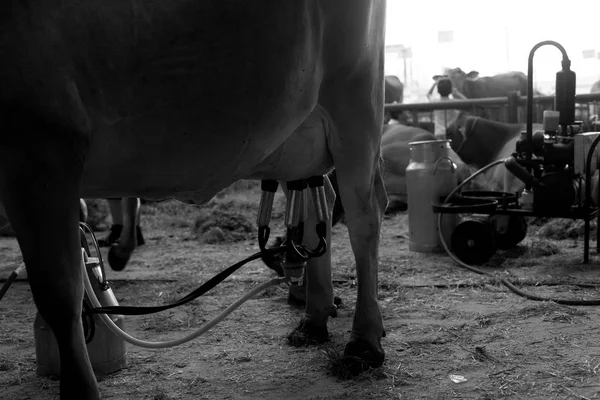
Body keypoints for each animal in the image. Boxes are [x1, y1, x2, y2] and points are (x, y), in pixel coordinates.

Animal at [0, 1, 386, 398]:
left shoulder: (42, 146)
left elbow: (59, 294)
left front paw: (81, 388)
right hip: (297, 135)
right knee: (317, 209)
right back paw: (314, 317)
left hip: (355, 103)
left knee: (364, 217)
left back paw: (364, 341)